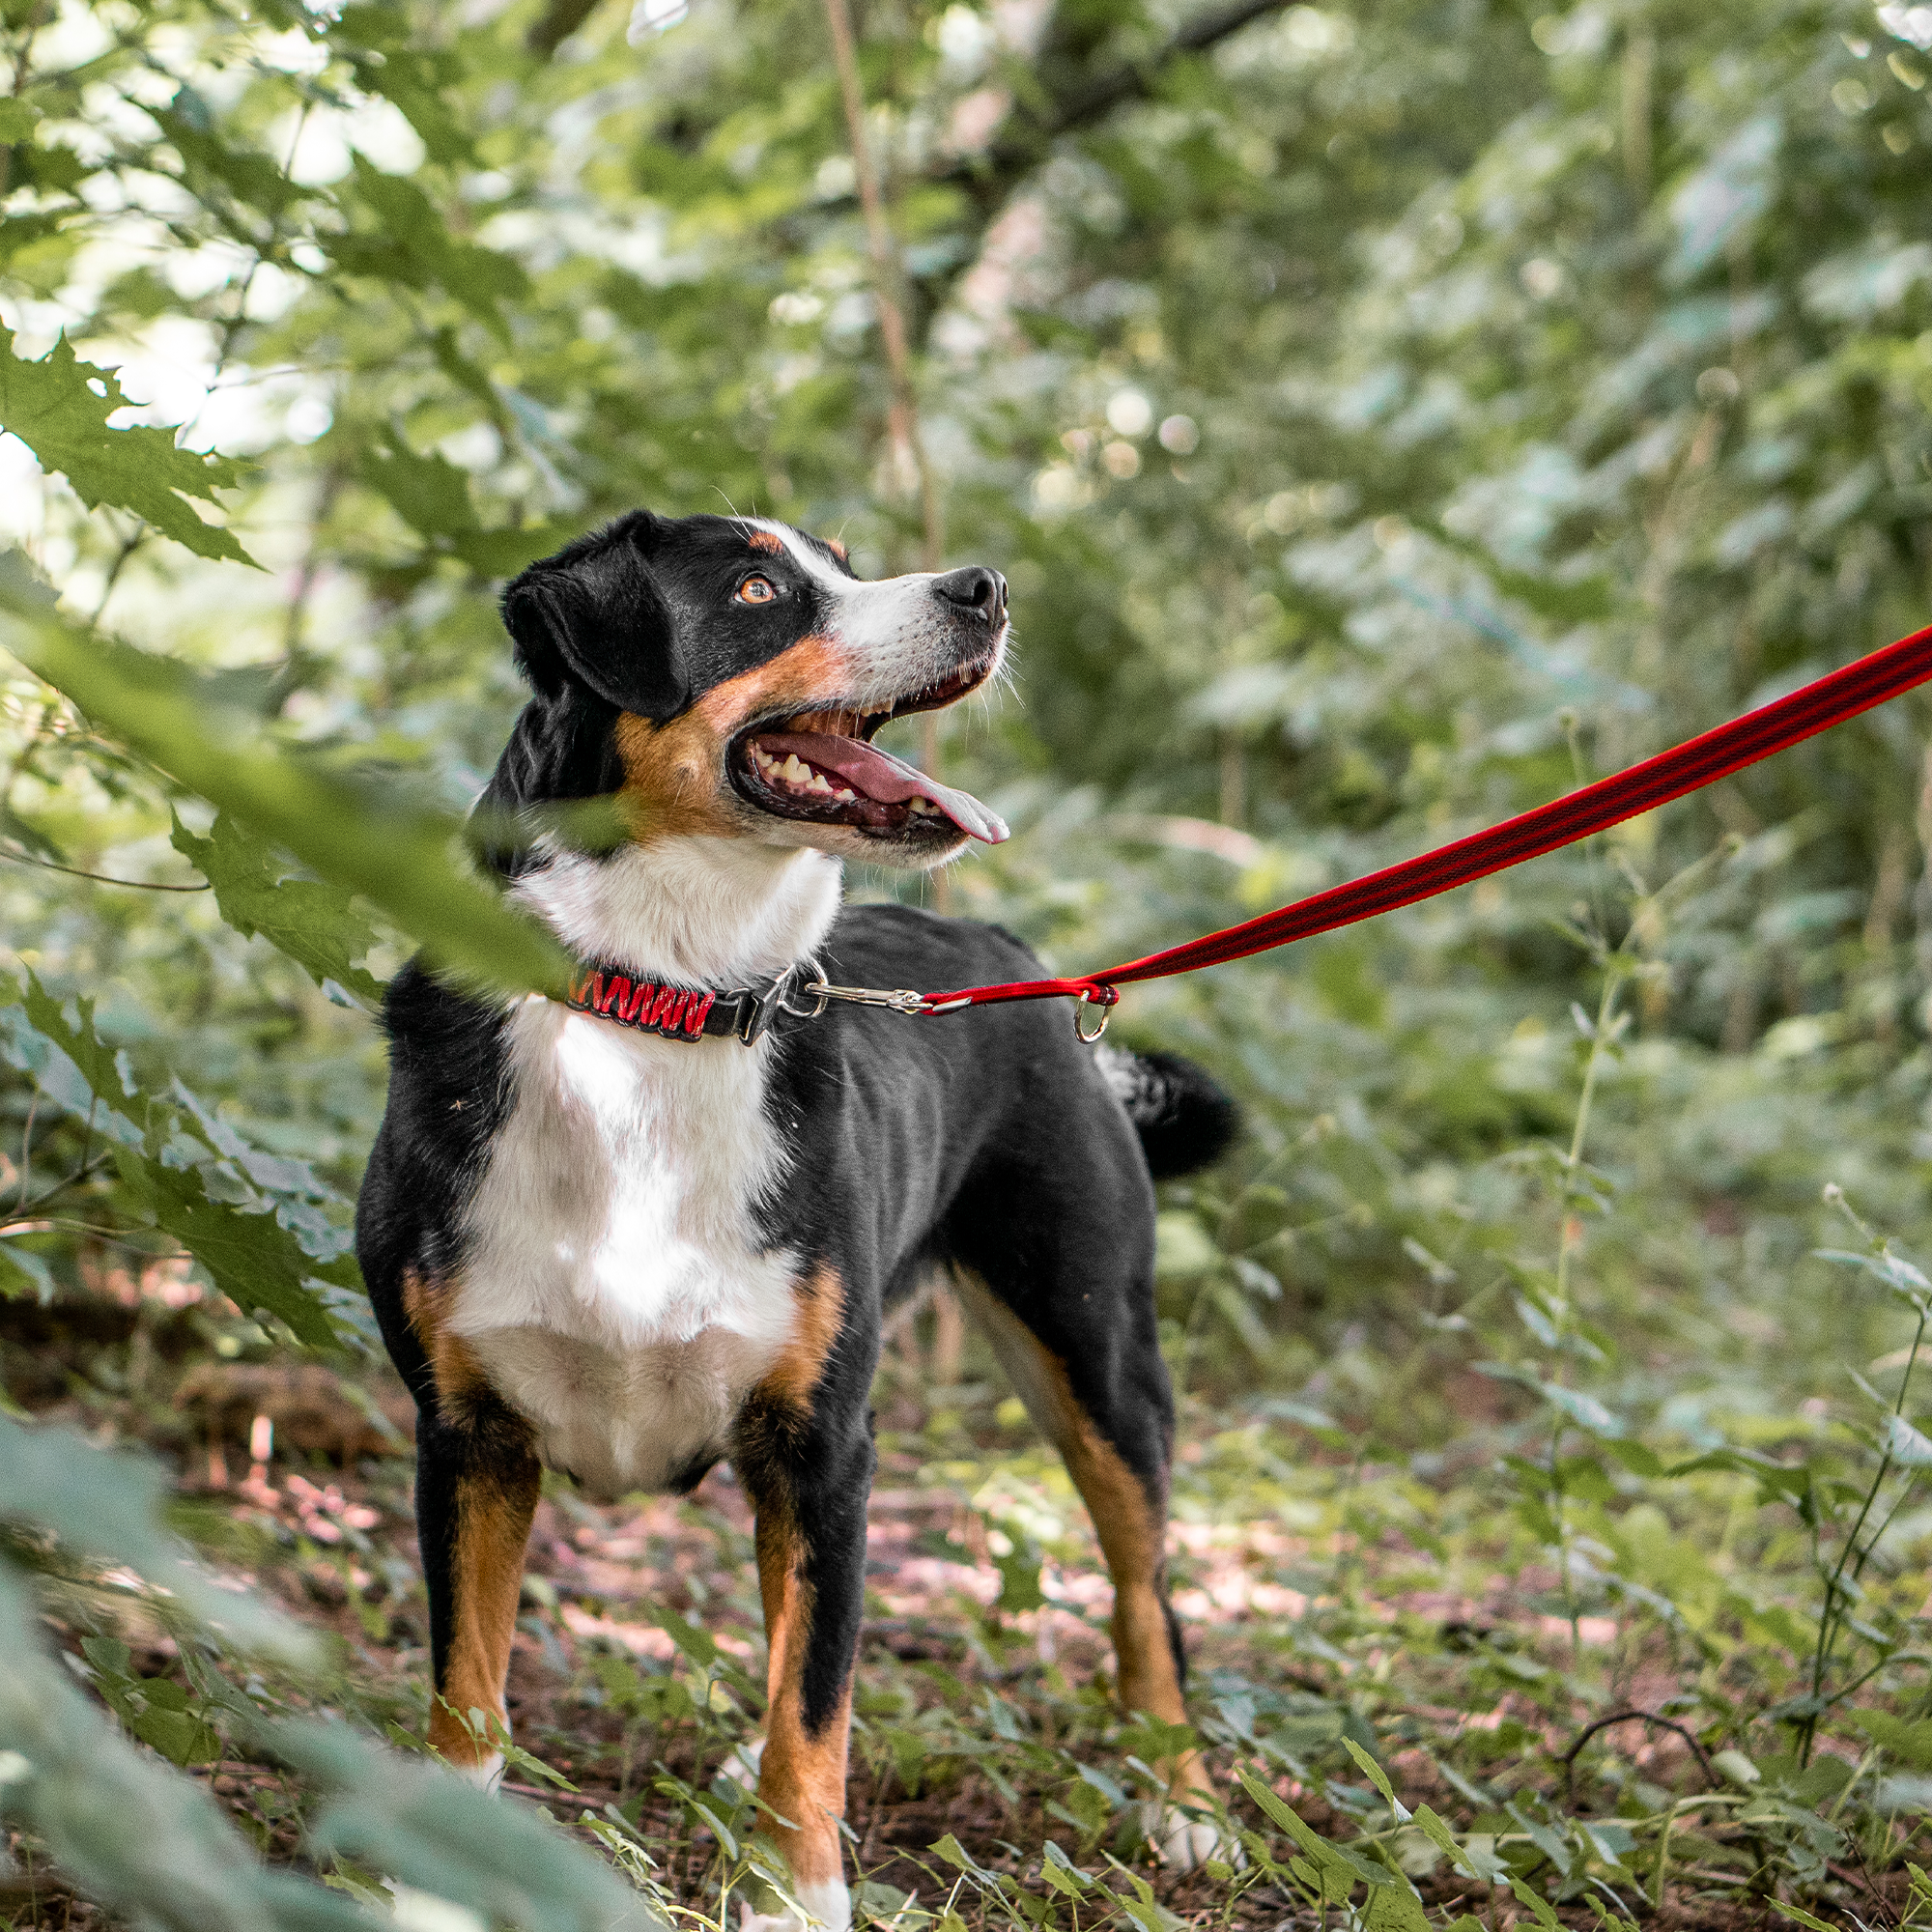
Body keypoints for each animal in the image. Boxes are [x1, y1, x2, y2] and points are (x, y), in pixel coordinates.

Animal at [355, 506, 1236, 1924]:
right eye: (762, 588)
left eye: (846, 559)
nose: (986, 586)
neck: (655, 1009)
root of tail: (1016, 959)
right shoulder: (466, 1434)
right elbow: (468, 1695)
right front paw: (437, 1885)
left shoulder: (824, 1446)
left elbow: (815, 1711)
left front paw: (792, 1891)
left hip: (1097, 1350)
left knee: (1142, 1597)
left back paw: (1183, 1798)